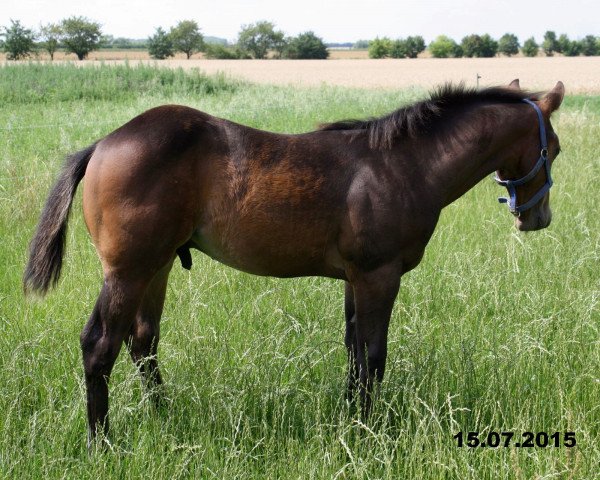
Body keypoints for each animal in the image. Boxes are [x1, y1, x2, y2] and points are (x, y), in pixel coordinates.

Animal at [24, 78, 564, 442]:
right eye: (554, 148)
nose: (538, 219)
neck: (404, 165)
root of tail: (101, 145)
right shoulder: (379, 275)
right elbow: (374, 355)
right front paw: (368, 429)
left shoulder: (354, 278)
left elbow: (353, 351)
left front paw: (350, 418)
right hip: (128, 271)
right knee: (100, 346)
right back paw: (102, 443)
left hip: (156, 268)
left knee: (143, 342)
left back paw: (166, 415)